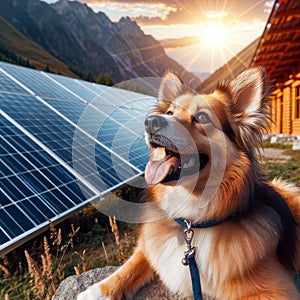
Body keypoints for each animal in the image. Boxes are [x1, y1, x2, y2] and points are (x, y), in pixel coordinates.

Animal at [78, 68, 300, 300]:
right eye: (169, 113)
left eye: (202, 117)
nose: (150, 122)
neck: (191, 221)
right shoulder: (151, 245)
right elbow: (132, 263)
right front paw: (98, 291)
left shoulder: (276, 288)